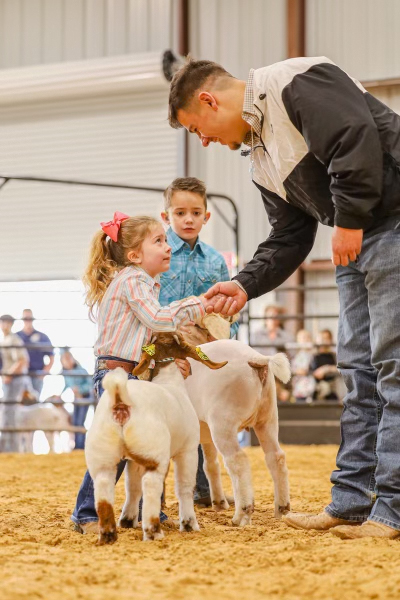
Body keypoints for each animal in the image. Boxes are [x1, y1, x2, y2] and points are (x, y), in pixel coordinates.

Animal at [183, 339, 291, 527]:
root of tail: (256, 358)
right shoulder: (204, 432)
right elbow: (210, 464)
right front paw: (219, 503)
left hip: (223, 420)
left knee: (237, 461)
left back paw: (241, 515)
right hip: (268, 415)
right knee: (276, 456)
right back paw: (282, 509)